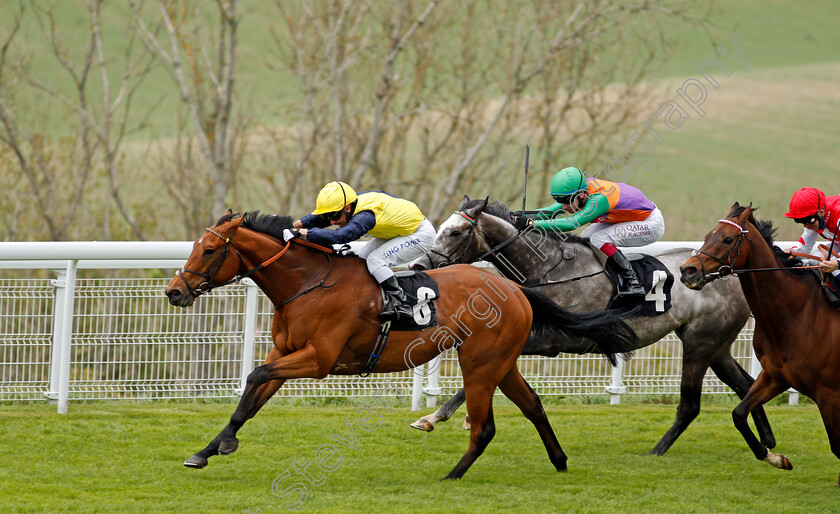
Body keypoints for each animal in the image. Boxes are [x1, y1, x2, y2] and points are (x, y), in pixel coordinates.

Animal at [162, 210, 636, 478]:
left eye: (209, 251)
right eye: (197, 247)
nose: (174, 292)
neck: (306, 282)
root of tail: (514, 288)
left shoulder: (317, 360)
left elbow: (255, 377)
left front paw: (221, 446)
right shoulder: (286, 353)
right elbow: (250, 398)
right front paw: (207, 450)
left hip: (479, 362)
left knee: (484, 426)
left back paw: (452, 474)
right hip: (502, 362)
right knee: (533, 405)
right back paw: (559, 461)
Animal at [408, 195, 776, 452]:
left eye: (455, 231)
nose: (419, 264)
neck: (549, 269)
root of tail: (729, 273)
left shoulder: (556, 339)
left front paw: (436, 416)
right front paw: (444, 416)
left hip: (701, 343)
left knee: (691, 404)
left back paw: (657, 451)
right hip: (715, 345)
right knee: (745, 384)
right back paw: (767, 441)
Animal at [680, 202, 840, 482]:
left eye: (728, 239)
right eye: (709, 234)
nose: (688, 270)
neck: (796, 314)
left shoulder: (828, 393)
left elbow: (838, 446)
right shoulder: (776, 376)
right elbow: (739, 414)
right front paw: (777, 458)